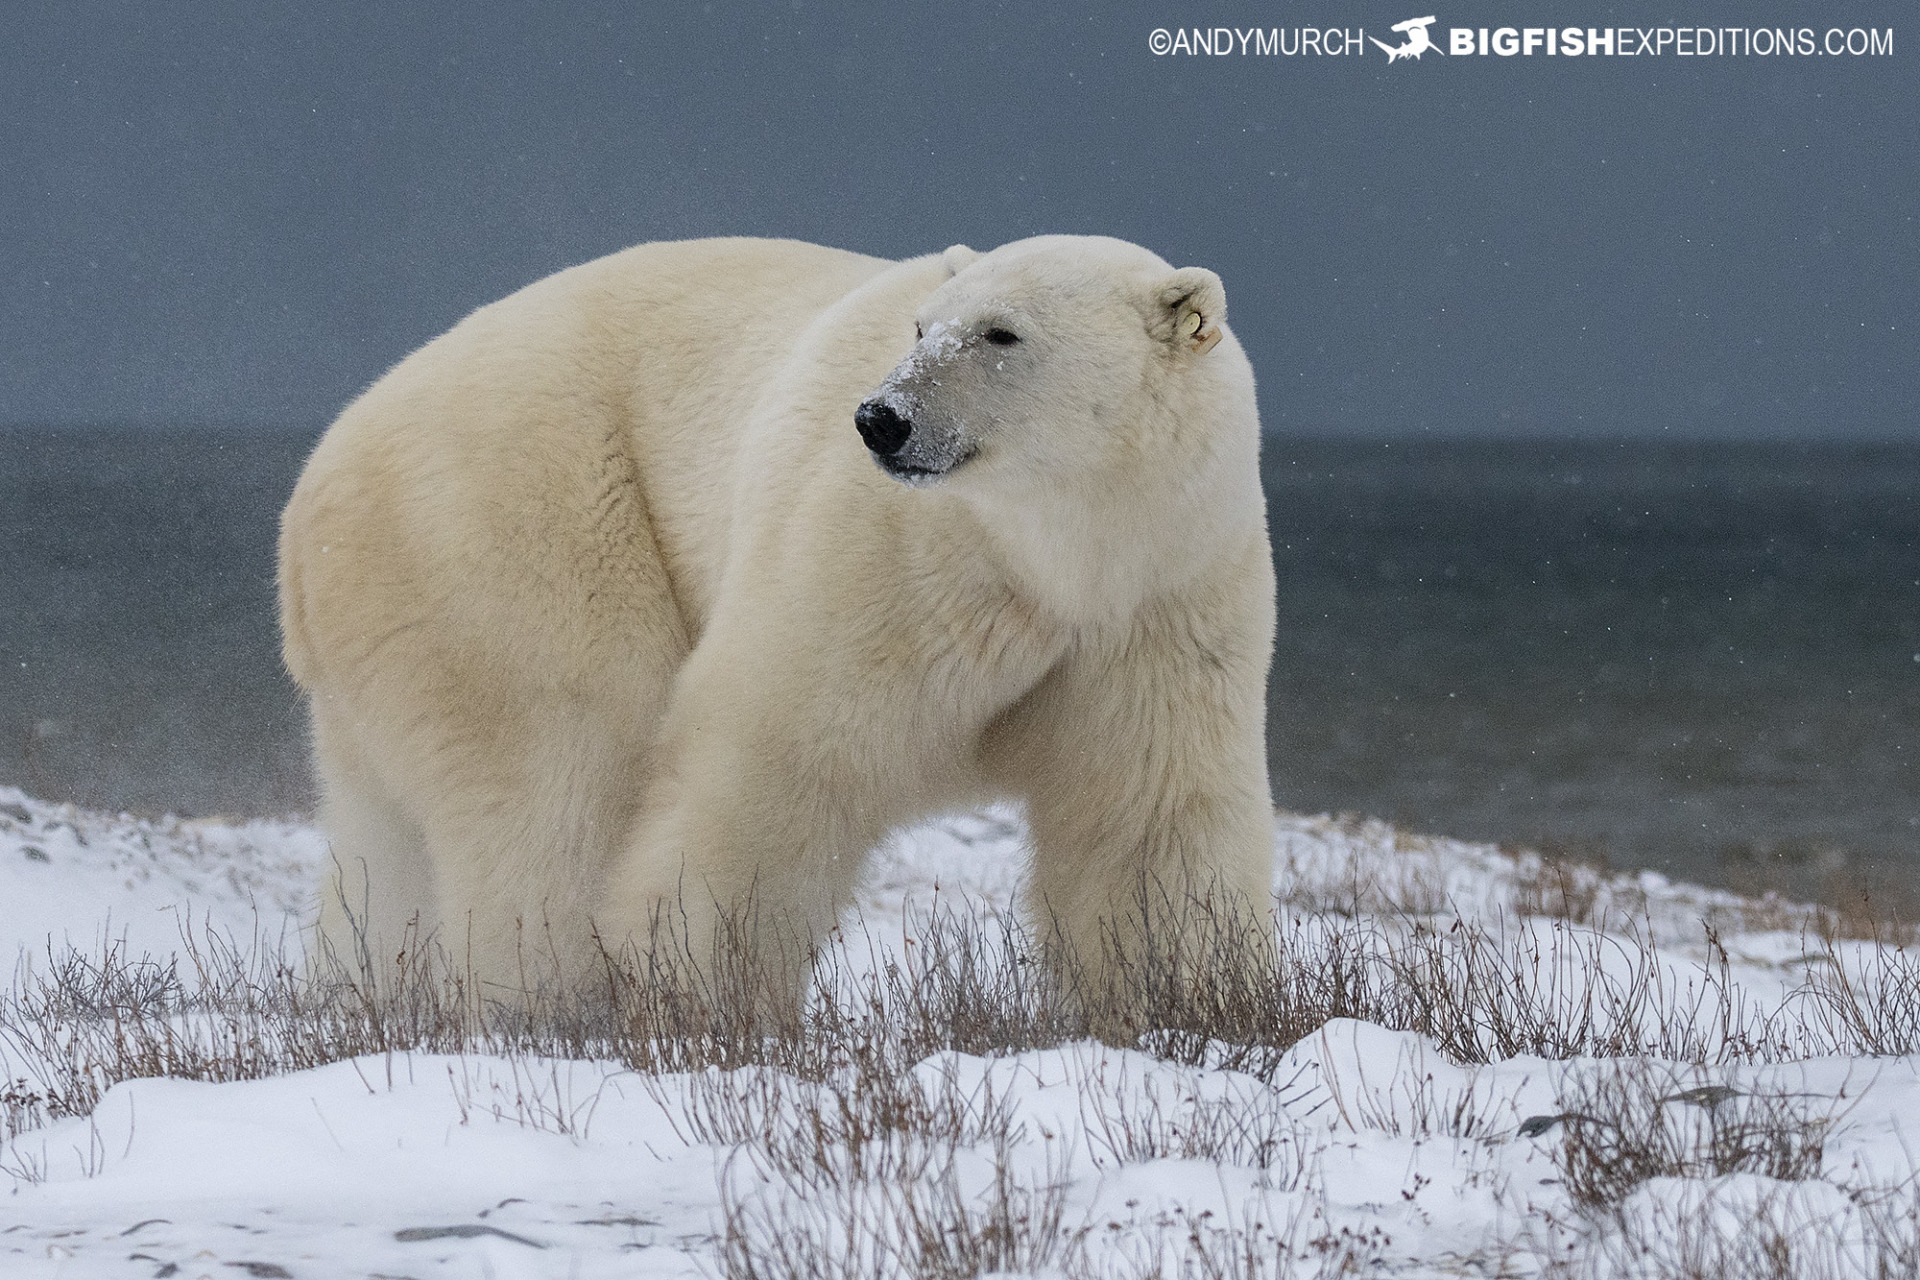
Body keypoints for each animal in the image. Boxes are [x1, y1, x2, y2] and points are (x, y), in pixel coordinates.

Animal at [278, 234, 1277, 1005]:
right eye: (923, 326)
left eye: (1003, 332)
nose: (882, 419)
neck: (1053, 560)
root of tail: (308, 501)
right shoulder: (888, 559)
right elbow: (780, 752)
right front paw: (699, 980)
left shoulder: (1164, 597)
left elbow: (1145, 810)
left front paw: (1186, 999)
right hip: (518, 522)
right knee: (567, 770)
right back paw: (552, 996)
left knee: (383, 840)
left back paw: (367, 992)